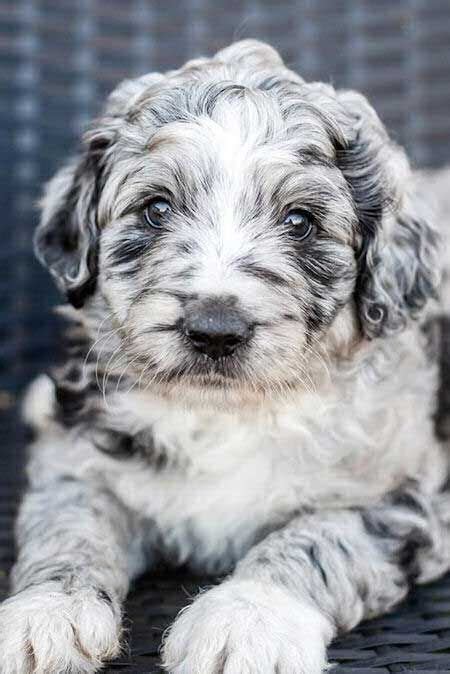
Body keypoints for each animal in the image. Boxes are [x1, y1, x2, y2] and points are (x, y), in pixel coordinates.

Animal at [0, 39, 450, 668]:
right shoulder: (78, 464)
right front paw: (45, 612)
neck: (226, 410)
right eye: (156, 209)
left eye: (300, 222)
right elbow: (68, 524)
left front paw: (246, 618)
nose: (215, 329)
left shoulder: (402, 499)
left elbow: (318, 539)